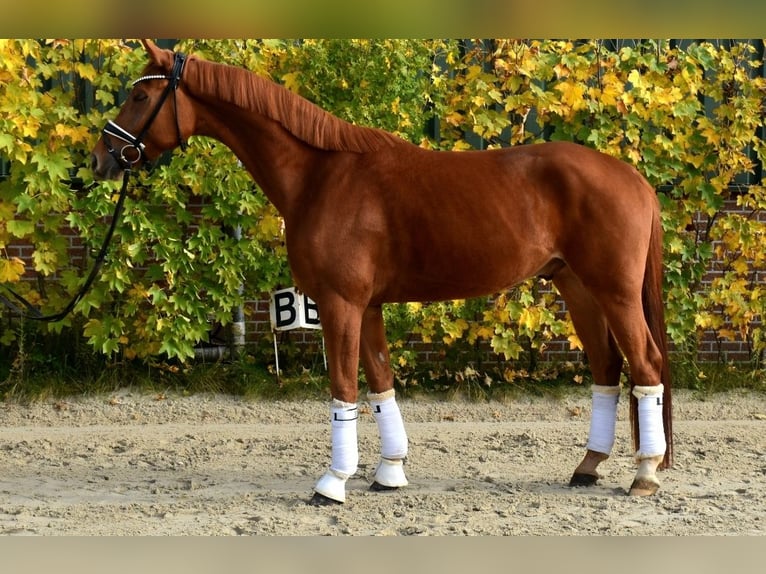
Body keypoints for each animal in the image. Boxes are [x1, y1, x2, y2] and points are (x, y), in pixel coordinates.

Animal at [91, 40, 673, 504]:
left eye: (139, 97)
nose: (101, 158)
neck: (321, 174)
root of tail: (633, 178)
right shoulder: (366, 305)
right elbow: (380, 384)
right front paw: (389, 473)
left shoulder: (339, 302)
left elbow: (344, 389)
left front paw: (332, 483)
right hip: (578, 289)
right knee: (607, 369)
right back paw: (589, 466)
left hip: (615, 292)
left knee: (645, 364)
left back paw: (645, 474)